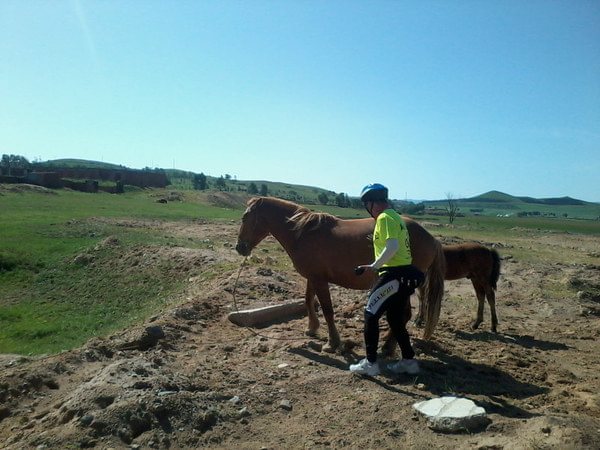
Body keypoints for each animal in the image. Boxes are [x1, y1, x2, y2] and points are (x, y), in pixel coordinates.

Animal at [234, 199, 446, 354]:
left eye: (245, 217)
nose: (239, 247)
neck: (303, 232)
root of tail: (432, 239)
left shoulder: (320, 280)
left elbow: (327, 310)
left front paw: (332, 343)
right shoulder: (313, 277)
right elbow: (308, 300)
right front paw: (312, 328)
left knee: (404, 315)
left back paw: (387, 347)